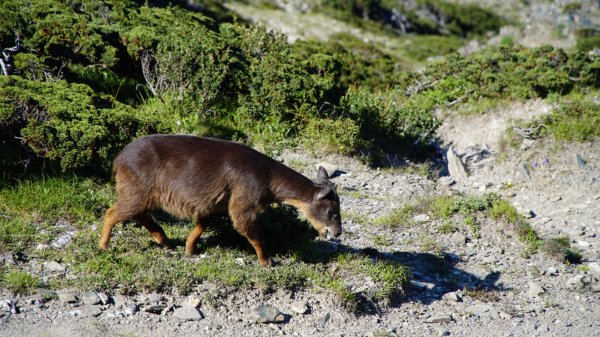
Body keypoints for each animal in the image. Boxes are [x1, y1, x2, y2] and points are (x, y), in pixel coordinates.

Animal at [99, 134, 342, 266]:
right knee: (113, 212)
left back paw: (162, 238)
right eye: (332, 212)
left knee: (137, 213)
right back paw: (104, 246)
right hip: (139, 190)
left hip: (141, 192)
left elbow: (202, 225)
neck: (268, 179)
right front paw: (267, 261)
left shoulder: (212, 203)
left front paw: (190, 249)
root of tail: (118, 159)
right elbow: (253, 233)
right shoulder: (244, 201)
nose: (338, 232)